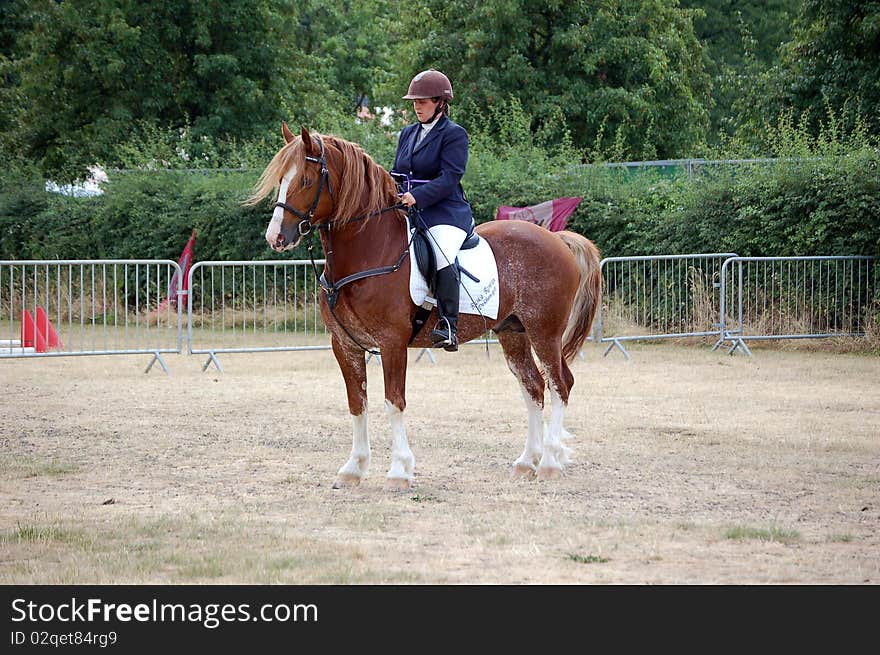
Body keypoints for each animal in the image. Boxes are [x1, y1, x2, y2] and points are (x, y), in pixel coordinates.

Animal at [251, 125, 600, 490]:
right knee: (533, 387)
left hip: (544, 332)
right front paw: (353, 468)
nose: (276, 237)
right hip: (513, 332)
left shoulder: (392, 343)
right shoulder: (345, 344)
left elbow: (394, 402)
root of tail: (556, 239)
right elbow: (357, 403)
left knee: (560, 384)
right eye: (281, 178)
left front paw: (399, 471)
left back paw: (550, 462)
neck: (369, 249)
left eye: (305, 179)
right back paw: (527, 462)